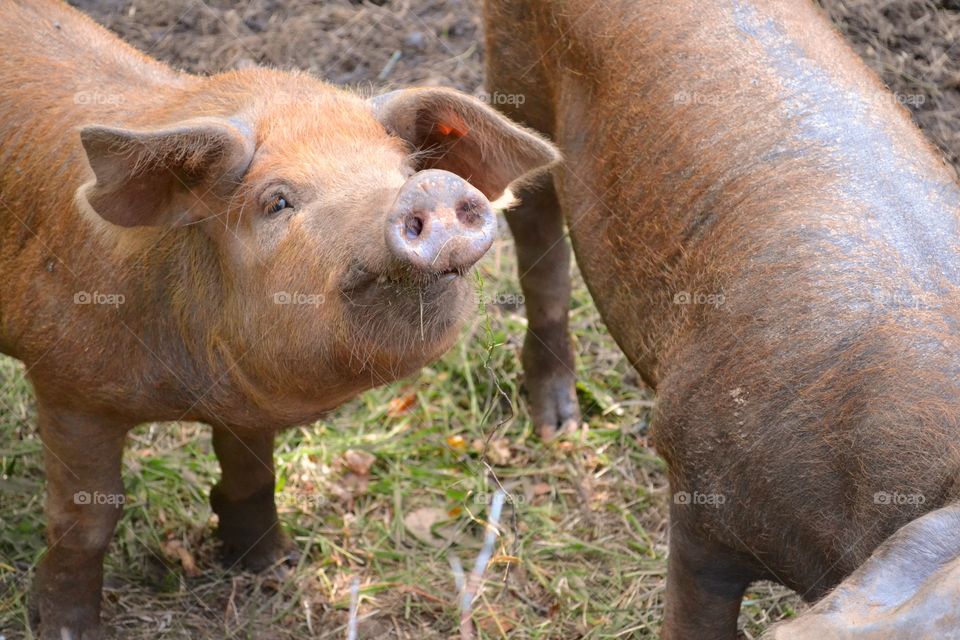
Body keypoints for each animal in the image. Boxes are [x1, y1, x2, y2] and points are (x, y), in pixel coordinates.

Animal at [0, 0, 560, 636]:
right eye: (277, 201)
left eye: (400, 170)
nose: (429, 187)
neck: (191, 388)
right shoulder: (67, 386)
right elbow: (86, 519)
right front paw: (68, 629)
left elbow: (253, 471)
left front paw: (273, 564)